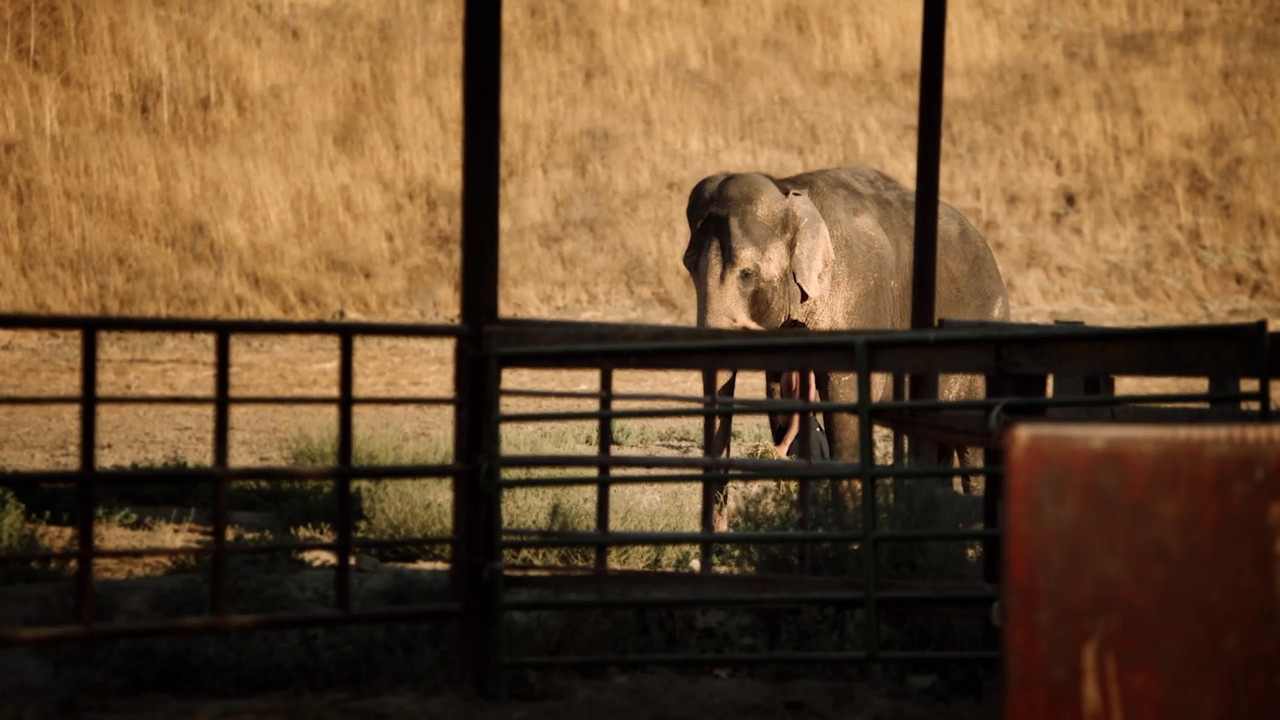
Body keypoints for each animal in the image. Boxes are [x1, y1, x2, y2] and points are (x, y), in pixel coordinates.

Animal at [686, 166, 1003, 527]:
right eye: (688, 267)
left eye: (747, 273)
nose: (720, 526)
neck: (789, 191)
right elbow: (779, 399)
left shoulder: (859, 299)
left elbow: (845, 406)